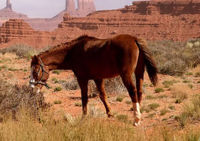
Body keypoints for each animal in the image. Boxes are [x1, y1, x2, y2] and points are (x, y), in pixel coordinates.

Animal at [29, 34, 158, 125]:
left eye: (35, 71)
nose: (32, 88)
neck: (73, 52)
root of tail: (134, 39)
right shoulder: (98, 78)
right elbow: (102, 95)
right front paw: (110, 114)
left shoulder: (82, 79)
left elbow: (84, 98)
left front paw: (84, 117)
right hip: (139, 73)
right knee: (139, 91)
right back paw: (137, 114)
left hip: (126, 75)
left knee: (133, 92)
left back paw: (136, 119)